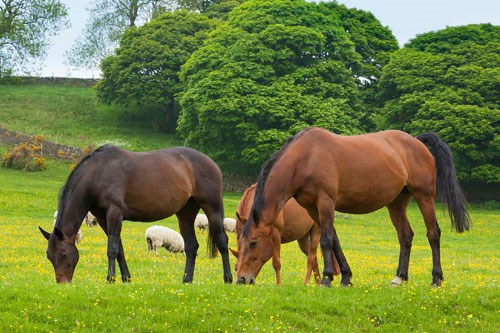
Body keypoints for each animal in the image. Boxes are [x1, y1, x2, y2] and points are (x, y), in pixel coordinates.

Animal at [40, 145, 233, 282]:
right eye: (49, 256)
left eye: (63, 253)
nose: (63, 282)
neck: (98, 173)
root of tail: (213, 164)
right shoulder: (102, 218)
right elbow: (119, 249)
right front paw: (125, 278)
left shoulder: (115, 213)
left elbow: (112, 248)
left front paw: (110, 279)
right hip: (186, 213)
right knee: (192, 246)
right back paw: (186, 280)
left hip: (212, 207)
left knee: (222, 241)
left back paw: (229, 278)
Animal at [236, 127, 470, 286]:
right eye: (240, 243)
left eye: (254, 243)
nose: (242, 279)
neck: (305, 158)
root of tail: (417, 142)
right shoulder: (313, 208)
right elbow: (335, 241)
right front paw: (345, 277)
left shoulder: (325, 202)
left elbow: (327, 240)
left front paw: (327, 279)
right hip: (396, 203)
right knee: (405, 236)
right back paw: (399, 278)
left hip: (424, 197)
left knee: (433, 234)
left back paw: (436, 279)